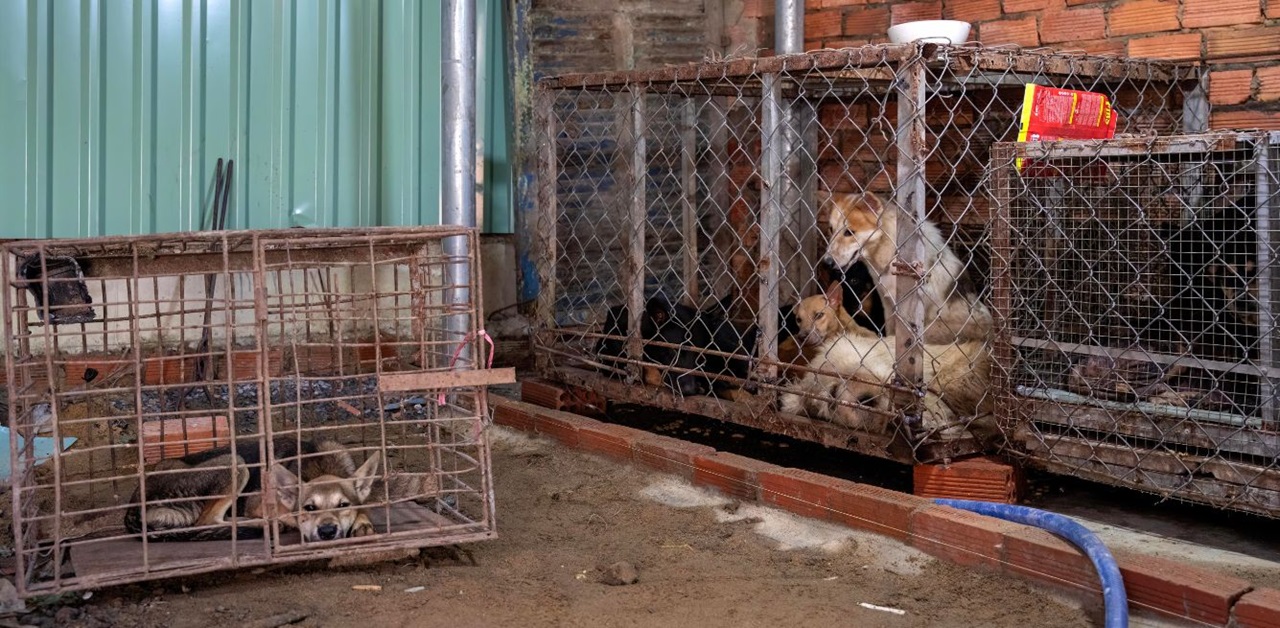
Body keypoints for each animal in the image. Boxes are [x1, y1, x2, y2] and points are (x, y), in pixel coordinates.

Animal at [126, 437, 381, 544]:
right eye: (308, 508)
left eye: (343, 505)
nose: (327, 531)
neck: (318, 464)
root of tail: (133, 504)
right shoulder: (259, 502)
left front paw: (362, 522)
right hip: (235, 462)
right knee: (206, 521)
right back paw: (261, 525)